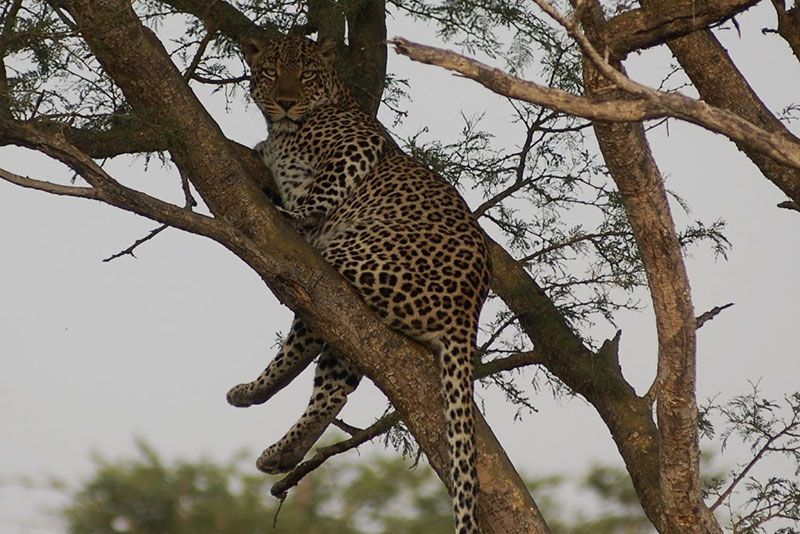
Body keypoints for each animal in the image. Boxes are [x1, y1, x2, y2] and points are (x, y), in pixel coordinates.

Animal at [228, 35, 490, 534]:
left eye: (305, 74)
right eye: (270, 71)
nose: (286, 101)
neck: (286, 131)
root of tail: (470, 311)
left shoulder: (357, 145)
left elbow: (323, 191)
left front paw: (295, 214)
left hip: (351, 259)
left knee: (307, 321)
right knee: (334, 384)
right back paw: (277, 445)